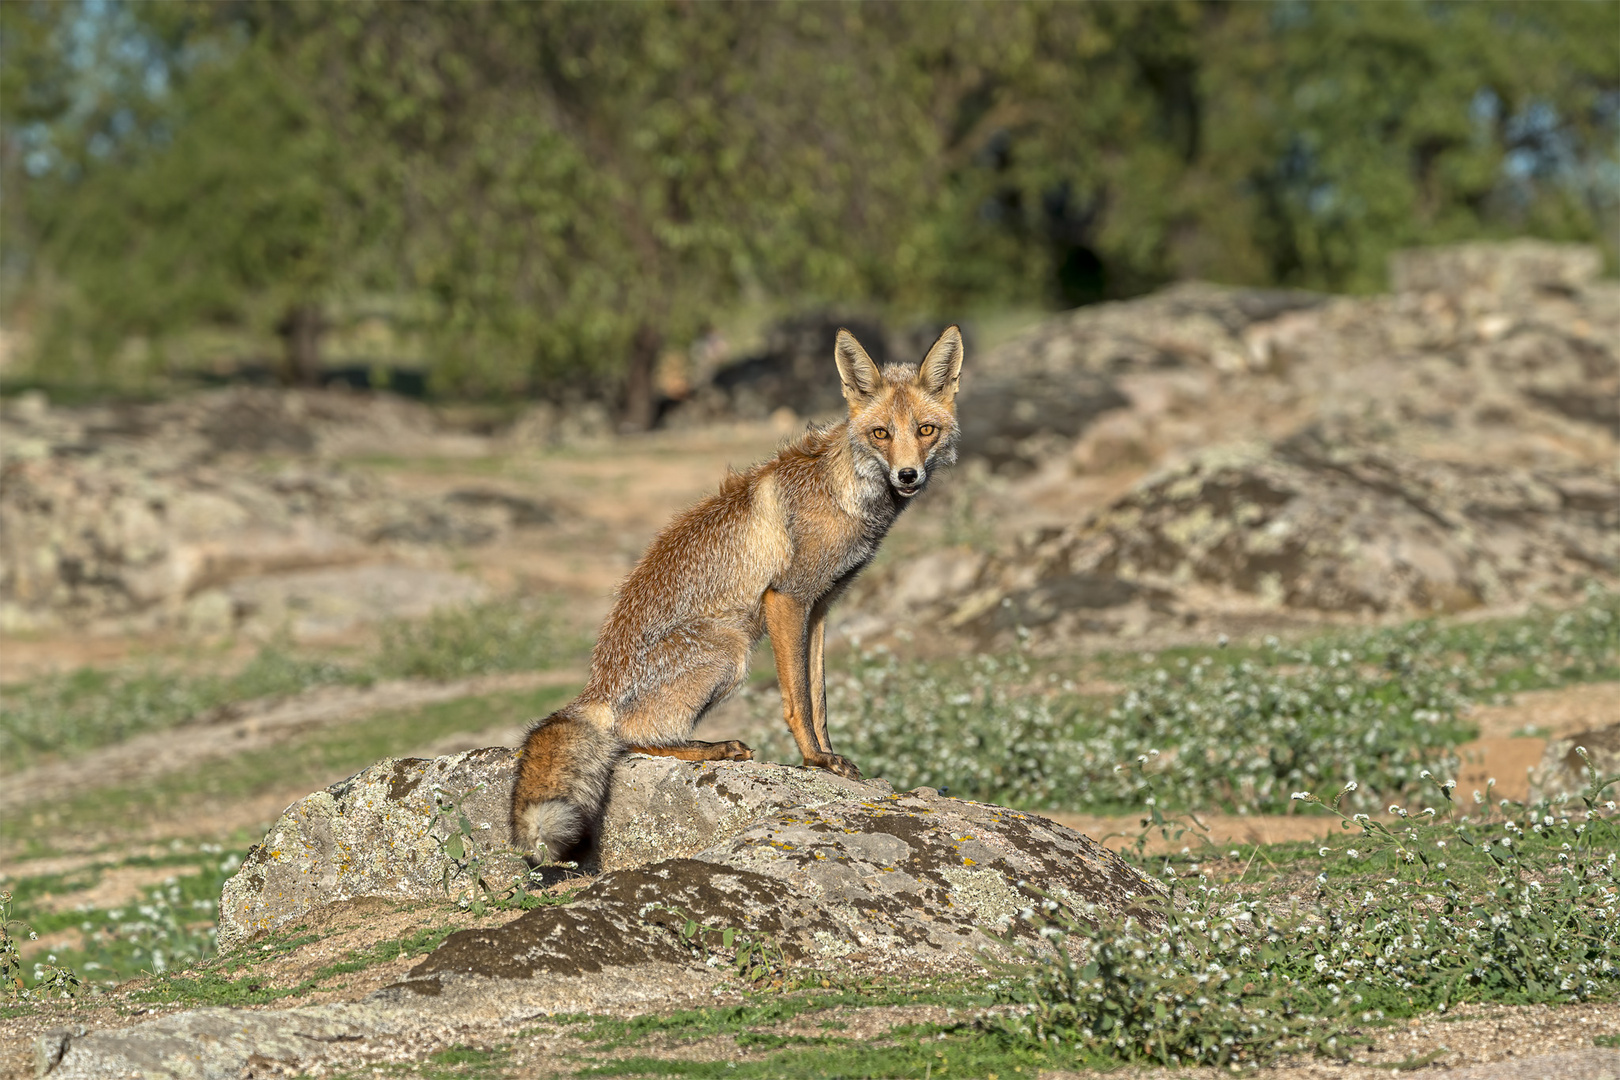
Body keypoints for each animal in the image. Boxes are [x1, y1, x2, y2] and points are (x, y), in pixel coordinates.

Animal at [508, 323, 959, 861]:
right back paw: (713, 749)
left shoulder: (821, 606)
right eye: (881, 434)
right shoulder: (786, 598)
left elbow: (820, 696)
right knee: (633, 738)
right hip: (731, 648)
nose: (908, 475)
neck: (843, 491)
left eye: (925, 430)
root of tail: (597, 687)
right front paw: (814, 761)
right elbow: (797, 701)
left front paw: (832, 758)